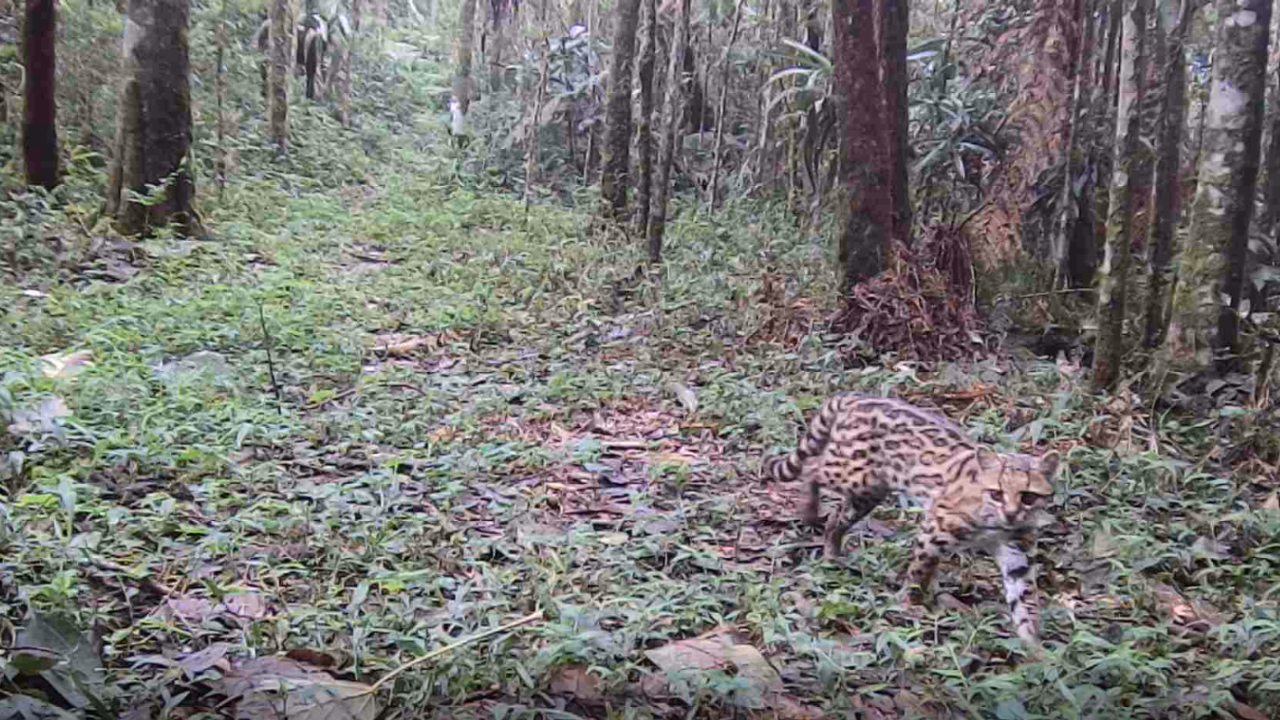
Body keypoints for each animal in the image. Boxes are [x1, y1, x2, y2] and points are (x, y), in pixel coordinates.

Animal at [762, 392, 1054, 650]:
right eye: (996, 493)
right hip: (851, 472)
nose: (1012, 513)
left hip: (868, 491)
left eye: (1028, 497)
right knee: (813, 469)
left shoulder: (1017, 554)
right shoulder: (937, 527)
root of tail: (855, 397)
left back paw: (832, 551)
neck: (997, 525)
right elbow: (919, 570)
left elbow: (1025, 599)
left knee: (836, 517)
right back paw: (809, 509)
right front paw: (910, 603)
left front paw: (1034, 645)